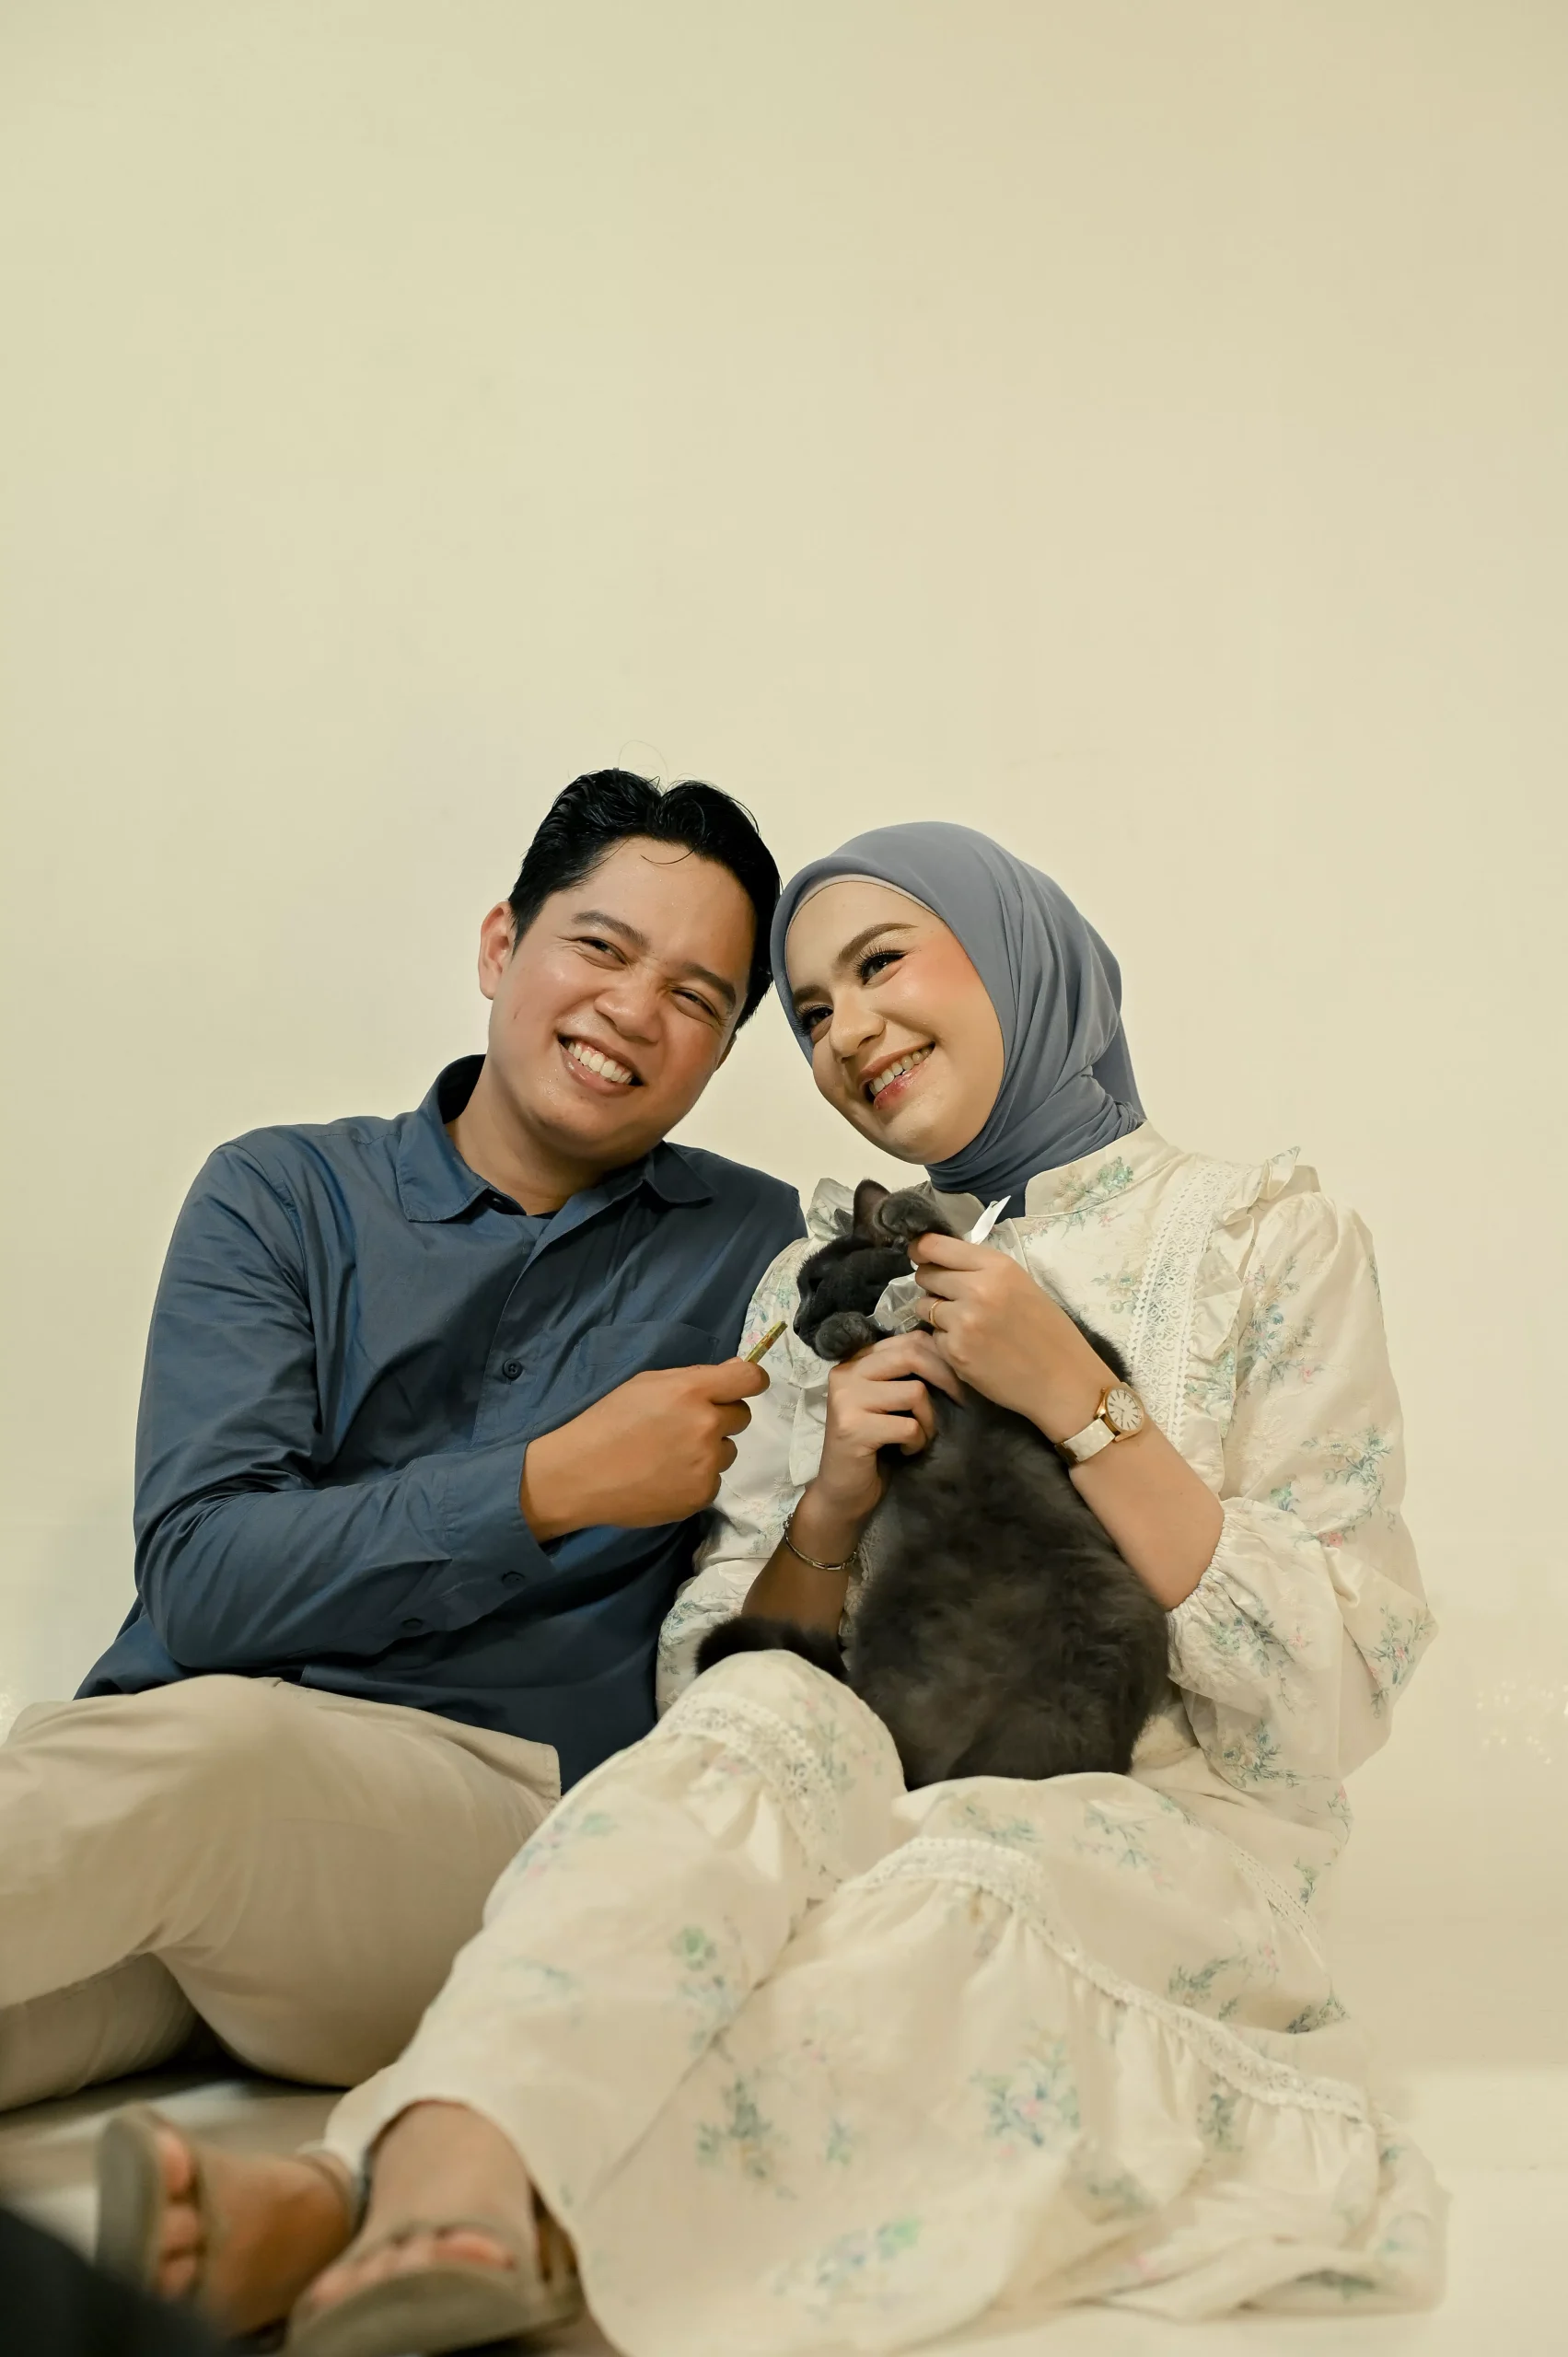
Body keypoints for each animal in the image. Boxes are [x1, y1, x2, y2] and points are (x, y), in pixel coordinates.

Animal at [696, 1179, 1171, 1788]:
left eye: (815, 1283)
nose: (799, 1325)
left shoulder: (1084, 1349)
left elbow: (952, 1253)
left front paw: (911, 1215)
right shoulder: (898, 1426)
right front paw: (843, 1335)